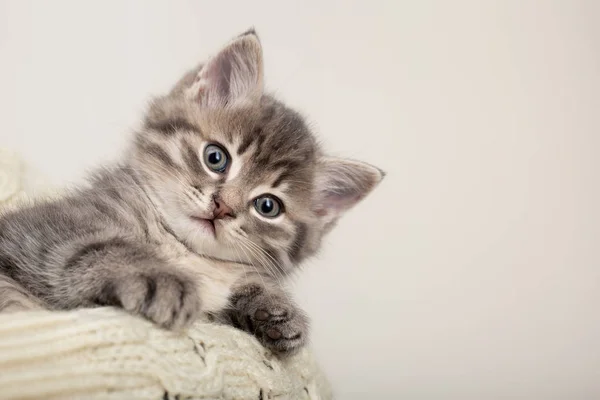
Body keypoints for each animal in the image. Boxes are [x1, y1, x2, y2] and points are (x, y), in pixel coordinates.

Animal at [0, 30, 384, 356]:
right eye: (216, 157)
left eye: (268, 206)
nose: (222, 207)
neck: (186, 251)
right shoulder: (43, 226)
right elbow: (95, 245)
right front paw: (156, 277)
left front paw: (275, 308)